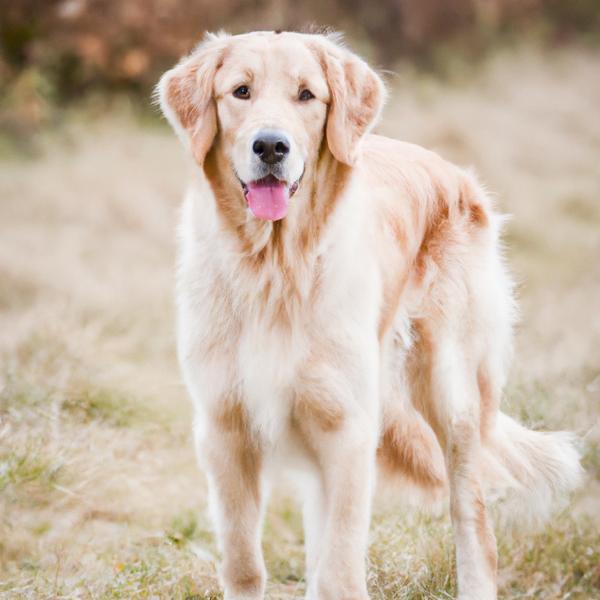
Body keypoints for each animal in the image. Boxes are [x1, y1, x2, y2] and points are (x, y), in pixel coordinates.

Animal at [157, 30, 584, 596]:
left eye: (307, 95)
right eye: (240, 91)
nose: (270, 146)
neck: (277, 269)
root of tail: (456, 173)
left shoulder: (348, 431)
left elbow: (340, 569)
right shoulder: (224, 429)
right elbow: (244, 563)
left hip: (452, 394)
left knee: (472, 517)